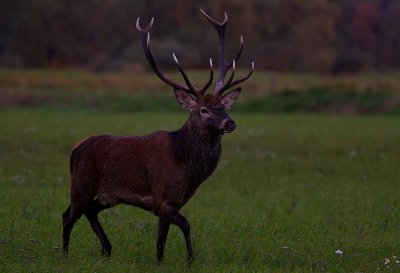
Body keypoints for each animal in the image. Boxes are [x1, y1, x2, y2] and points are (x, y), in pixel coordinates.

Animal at [62, 9, 255, 262]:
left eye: (223, 106)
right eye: (204, 109)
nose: (230, 122)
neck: (184, 167)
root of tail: (74, 150)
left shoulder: (173, 202)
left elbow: (161, 240)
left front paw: (160, 262)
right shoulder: (161, 198)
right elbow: (185, 225)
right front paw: (190, 259)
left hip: (108, 196)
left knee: (89, 212)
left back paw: (107, 249)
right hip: (81, 185)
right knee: (68, 216)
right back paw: (65, 254)